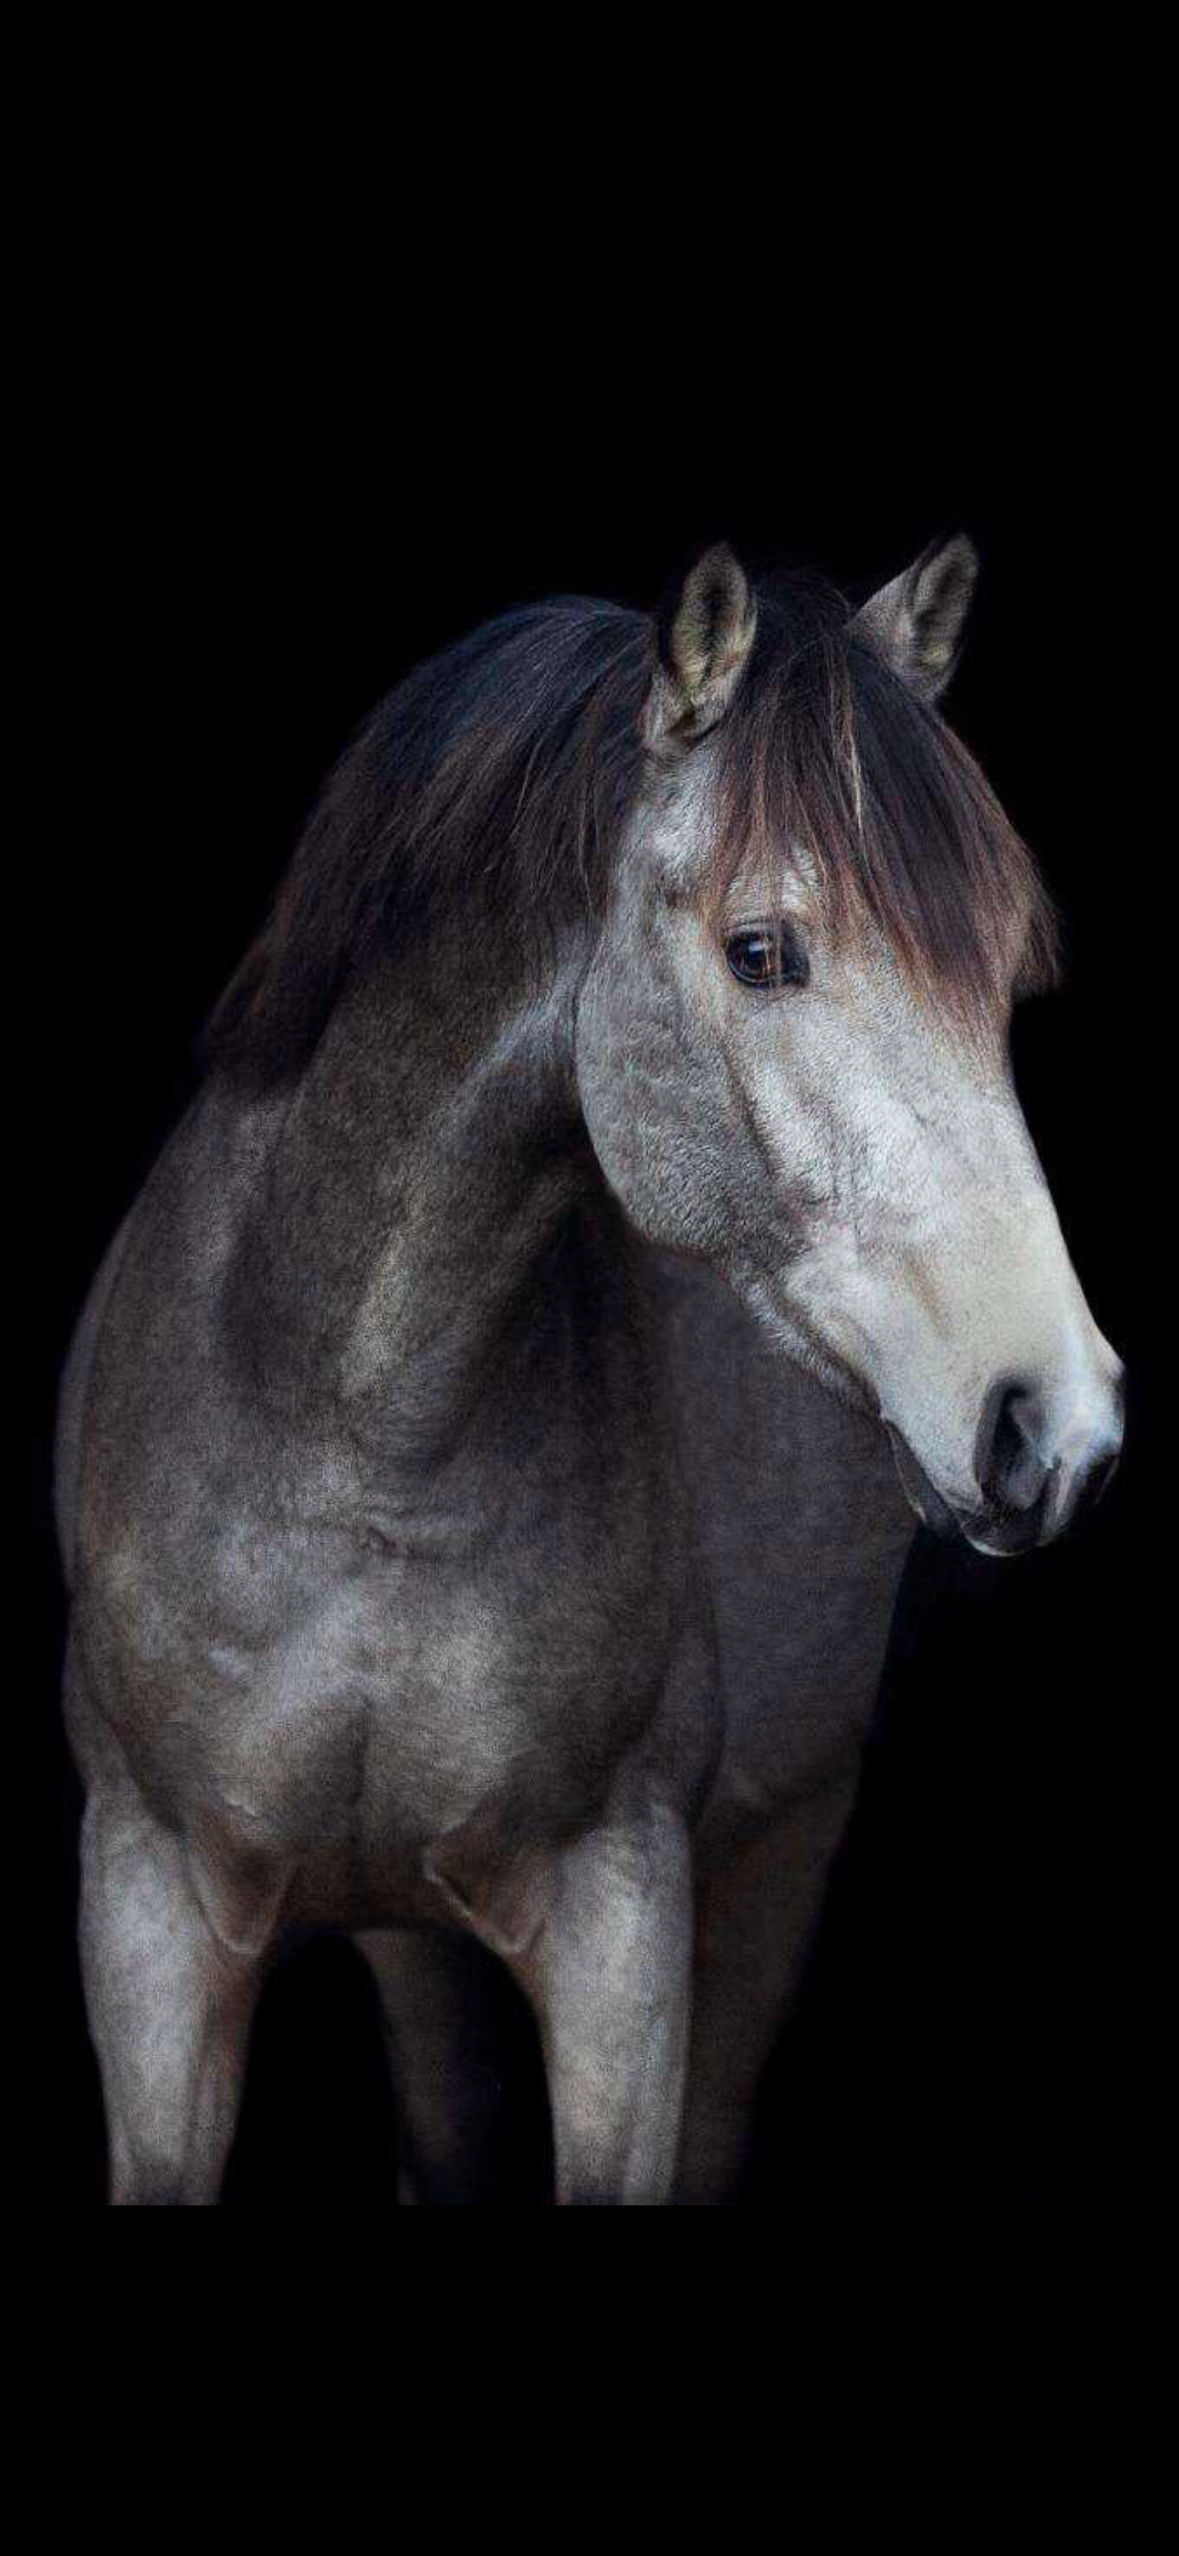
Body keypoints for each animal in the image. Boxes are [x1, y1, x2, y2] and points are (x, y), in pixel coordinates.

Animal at [54, 535, 1124, 2205]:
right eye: (762, 953)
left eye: (1000, 979)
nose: (1051, 1423)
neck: (362, 1441)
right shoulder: (147, 1903)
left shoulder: (626, 1924)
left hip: (780, 1857)